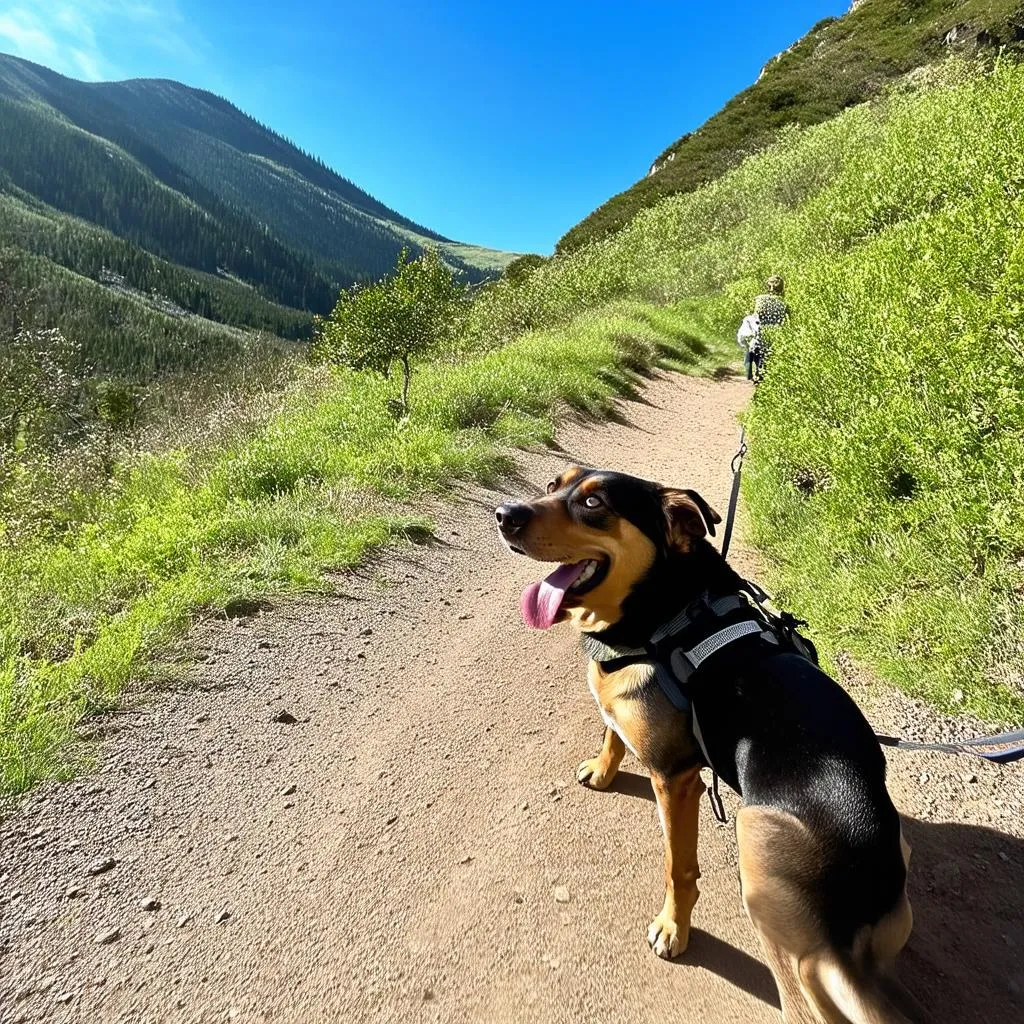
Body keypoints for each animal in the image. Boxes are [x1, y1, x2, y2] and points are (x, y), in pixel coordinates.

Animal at [497, 466, 921, 1024]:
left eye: (593, 503)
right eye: (552, 485)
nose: (504, 515)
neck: (664, 610)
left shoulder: (675, 780)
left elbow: (678, 868)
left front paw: (672, 929)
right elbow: (611, 730)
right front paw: (603, 770)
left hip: (760, 851)